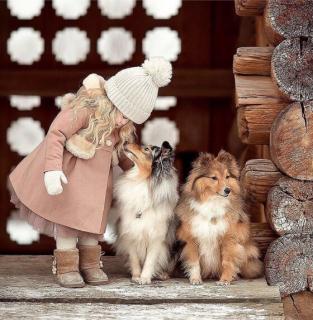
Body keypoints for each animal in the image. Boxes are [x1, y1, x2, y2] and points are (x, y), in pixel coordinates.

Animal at [176, 150, 260, 284]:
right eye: (214, 178)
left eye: (227, 177)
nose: (227, 190)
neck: (213, 201)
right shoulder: (192, 239)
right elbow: (194, 262)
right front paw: (195, 279)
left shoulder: (228, 238)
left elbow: (227, 262)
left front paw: (225, 280)